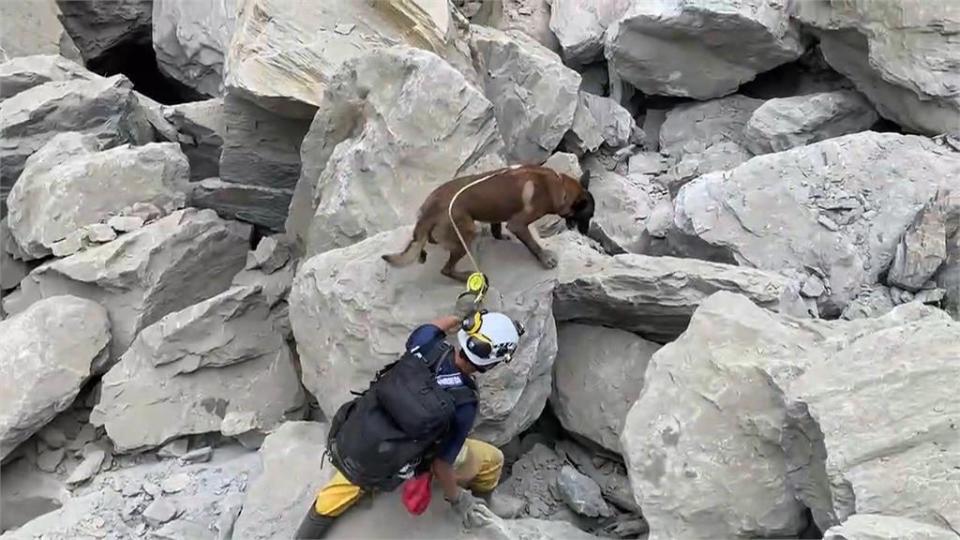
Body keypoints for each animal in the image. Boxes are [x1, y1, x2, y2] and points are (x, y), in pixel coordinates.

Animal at [380, 165, 592, 282]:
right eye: (587, 217)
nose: (586, 233)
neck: (559, 185)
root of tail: (431, 210)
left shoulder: (498, 213)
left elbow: (496, 227)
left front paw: (500, 236)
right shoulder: (518, 224)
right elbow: (533, 244)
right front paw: (544, 258)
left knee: (424, 242)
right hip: (466, 233)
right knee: (446, 269)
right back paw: (465, 276)